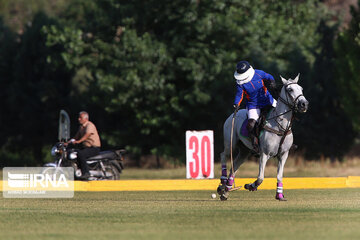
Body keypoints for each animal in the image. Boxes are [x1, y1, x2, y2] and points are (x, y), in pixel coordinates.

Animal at [218, 73, 308, 201]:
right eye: (290, 89)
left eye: (301, 88)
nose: (304, 104)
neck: (281, 126)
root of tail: (233, 114)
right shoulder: (264, 154)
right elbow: (260, 177)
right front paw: (250, 186)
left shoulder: (284, 154)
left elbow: (279, 176)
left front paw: (279, 195)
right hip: (230, 143)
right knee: (223, 155)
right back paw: (223, 181)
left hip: (244, 151)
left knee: (234, 167)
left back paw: (226, 189)